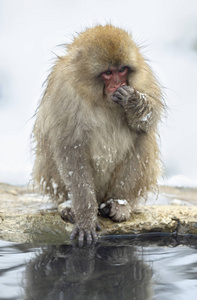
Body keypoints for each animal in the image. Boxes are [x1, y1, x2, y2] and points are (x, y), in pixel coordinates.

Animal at [32, 24, 165, 244]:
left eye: (122, 70)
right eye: (108, 72)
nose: (118, 85)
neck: (101, 98)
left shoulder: (143, 77)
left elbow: (151, 116)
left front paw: (133, 101)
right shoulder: (64, 90)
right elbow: (70, 149)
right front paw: (85, 217)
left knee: (143, 135)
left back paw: (120, 203)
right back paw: (68, 205)